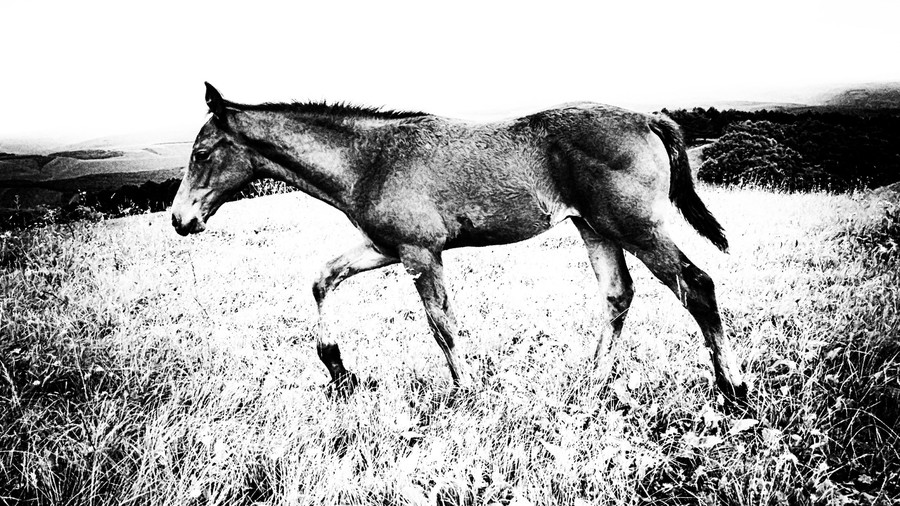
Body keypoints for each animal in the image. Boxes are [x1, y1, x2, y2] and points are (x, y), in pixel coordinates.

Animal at [171, 82, 748, 401]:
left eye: (201, 153)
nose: (180, 219)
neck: (369, 161)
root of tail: (647, 117)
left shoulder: (420, 253)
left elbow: (441, 325)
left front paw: (468, 391)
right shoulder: (385, 248)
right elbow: (322, 278)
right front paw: (338, 370)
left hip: (635, 227)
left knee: (696, 285)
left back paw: (733, 389)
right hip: (594, 228)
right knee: (617, 294)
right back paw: (590, 384)